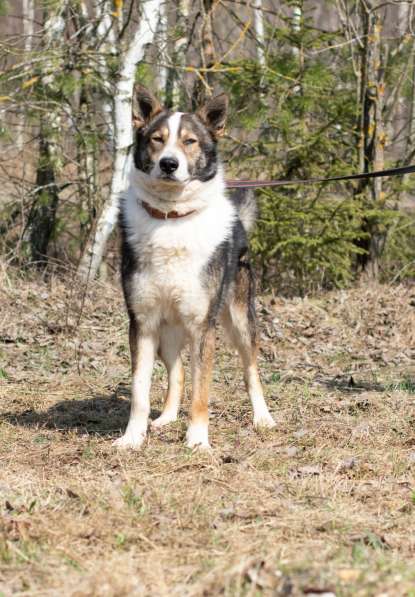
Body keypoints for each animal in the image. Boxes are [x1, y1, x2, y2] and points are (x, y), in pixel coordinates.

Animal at [114, 82, 276, 448]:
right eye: (157, 139)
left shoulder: (203, 326)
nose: (169, 164)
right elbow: (140, 390)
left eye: (190, 141)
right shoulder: (142, 323)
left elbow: (201, 390)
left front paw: (198, 441)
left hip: (240, 321)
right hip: (168, 331)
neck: (171, 217)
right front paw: (132, 438)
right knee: (177, 371)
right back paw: (166, 418)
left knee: (251, 370)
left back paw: (262, 418)